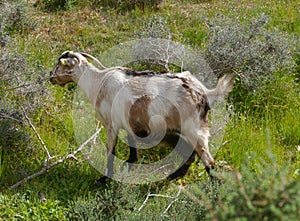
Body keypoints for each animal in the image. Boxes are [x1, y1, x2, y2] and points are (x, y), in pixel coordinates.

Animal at [49, 51, 234, 186]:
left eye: (59, 64)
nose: (50, 77)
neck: (98, 82)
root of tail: (204, 94)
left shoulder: (111, 124)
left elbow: (111, 151)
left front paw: (104, 179)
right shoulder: (129, 123)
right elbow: (132, 144)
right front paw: (129, 164)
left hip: (193, 130)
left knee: (208, 160)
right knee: (191, 156)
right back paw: (172, 177)